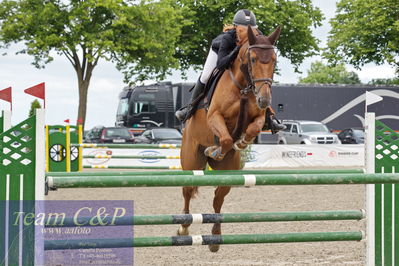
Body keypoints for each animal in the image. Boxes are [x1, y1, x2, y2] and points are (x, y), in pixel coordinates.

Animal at [180, 25, 282, 251]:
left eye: (274, 59)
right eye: (252, 58)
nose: (265, 99)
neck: (243, 86)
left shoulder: (258, 117)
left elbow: (253, 128)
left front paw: (241, 142)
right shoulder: (214, 116)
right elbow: (225, 139)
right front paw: (215, 149)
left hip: (228, 172)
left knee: (218, 198)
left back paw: (215, 237)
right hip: (191, 162)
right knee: (187, 191)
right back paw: (183, 228)